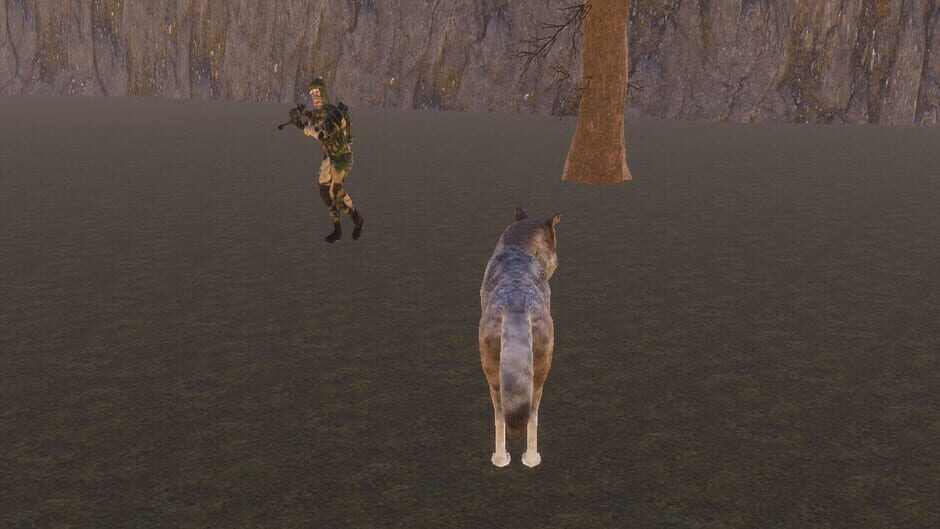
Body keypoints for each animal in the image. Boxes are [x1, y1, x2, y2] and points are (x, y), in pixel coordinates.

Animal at [479, 207, 560, 467]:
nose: (556, 261)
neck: (518, 249)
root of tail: (516, 304)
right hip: (541, 369)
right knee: (531, 413)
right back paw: (530, 459)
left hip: (493, 368)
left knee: (501, 412)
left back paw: (501, 459)